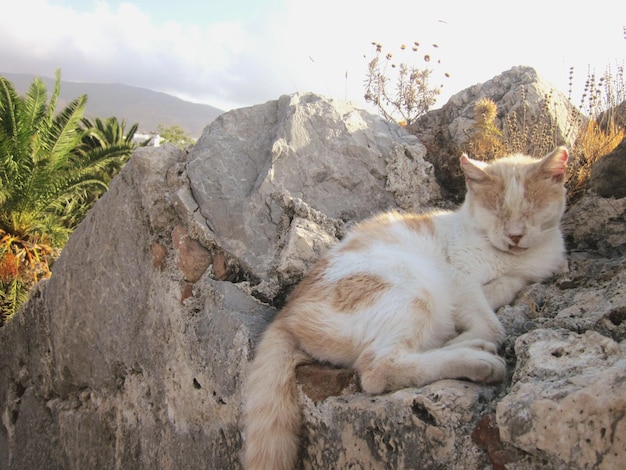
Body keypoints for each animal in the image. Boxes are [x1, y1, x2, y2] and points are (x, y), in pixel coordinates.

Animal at [241, 145, 568, 468]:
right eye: (498, 209)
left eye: (531, 208)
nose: (515, 235)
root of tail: (287, 312)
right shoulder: (459, 278)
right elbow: (492, 325)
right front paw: (470, 336)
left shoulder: (520, 277)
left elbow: (501, 292)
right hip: (413, 285)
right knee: (378, 369)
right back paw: (474, 359)